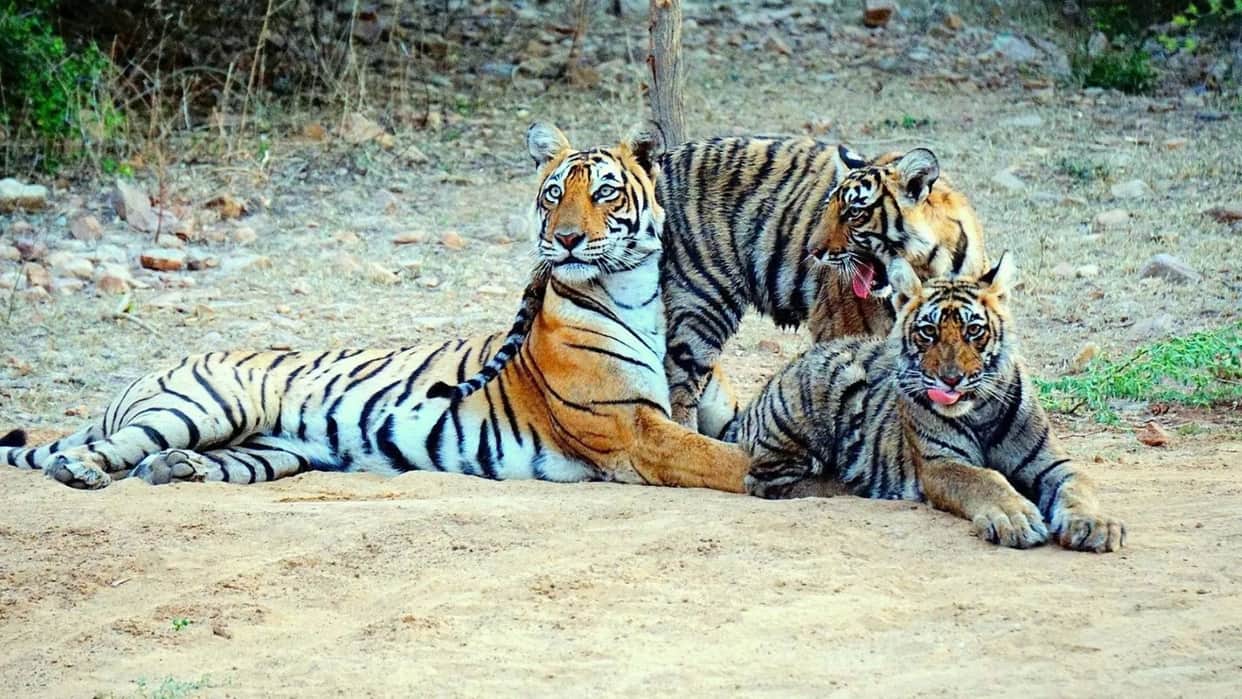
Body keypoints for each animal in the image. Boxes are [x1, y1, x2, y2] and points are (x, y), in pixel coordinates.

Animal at [0, 124, 753, 493]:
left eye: (604, 193)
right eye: (552, 194)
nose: (564, 239)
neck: (642, 293)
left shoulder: (706, 407)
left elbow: (741, 430)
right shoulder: (630, 428)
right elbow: (720, 458)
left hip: (268, 451)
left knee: (180, 460)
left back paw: (174, 471)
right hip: (205, 404)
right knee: (104, 447)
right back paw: (84, 471)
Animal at [657, 136, 987, 432]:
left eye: (854, 212)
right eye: (828, 209)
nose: (812, 251)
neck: (927, 268)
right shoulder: (842, 329)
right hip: (703, 300)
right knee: (680, 381)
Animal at [727, 253, 1125, 552]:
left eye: (974, 331)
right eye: (928, 332)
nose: (951, 379)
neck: (980, 411)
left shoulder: (1051, 462)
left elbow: (1078, 486)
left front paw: (1096, 524)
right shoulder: (941, 463)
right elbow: (987, 479)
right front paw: (1016, 518)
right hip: (827, 387)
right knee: (772, 482)